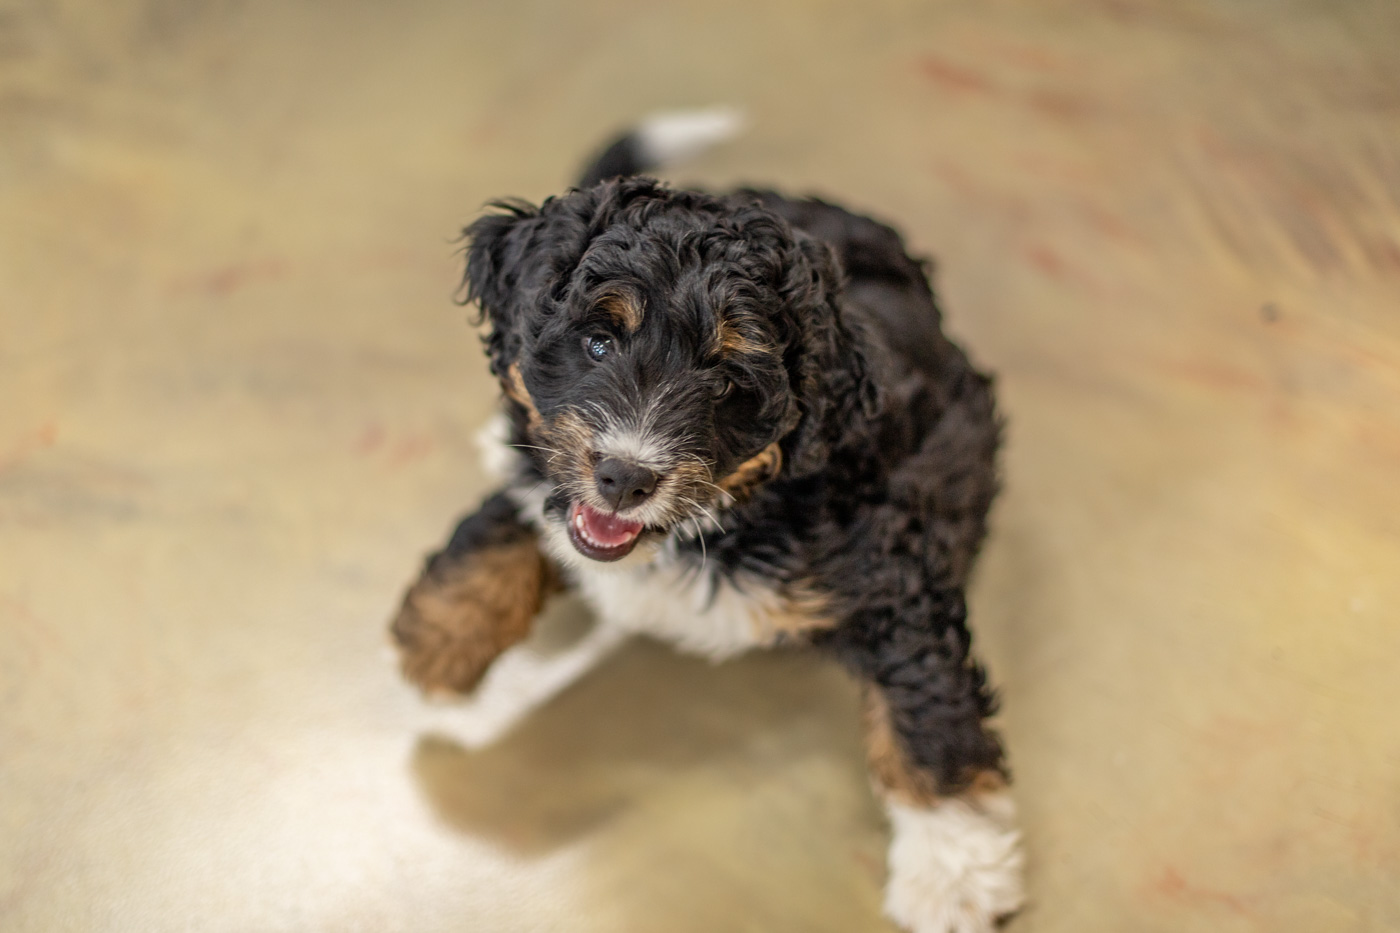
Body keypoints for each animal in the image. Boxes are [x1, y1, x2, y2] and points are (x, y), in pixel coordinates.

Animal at [389, 110, 1024, 930]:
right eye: (597, 341)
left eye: (725, 382)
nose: (624, 476)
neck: (718, 520)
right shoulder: (554, 477)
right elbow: (507, 521)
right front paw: (436, 644)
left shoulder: (893, 570)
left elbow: (926, 710)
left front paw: (954, 873)